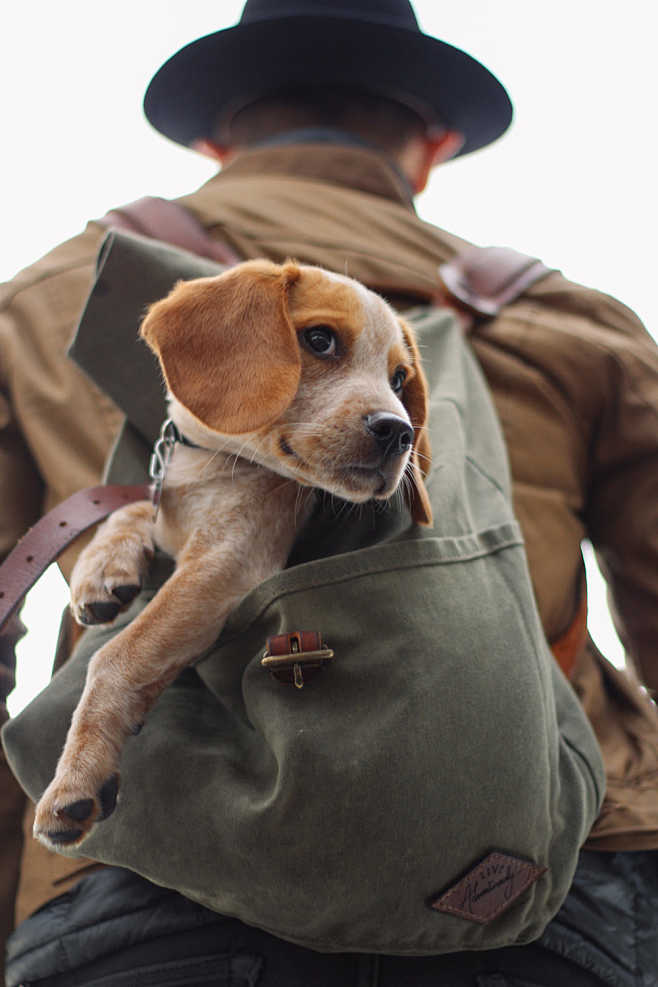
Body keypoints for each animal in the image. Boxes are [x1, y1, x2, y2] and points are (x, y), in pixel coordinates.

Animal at [33, 256, 430, 848]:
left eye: (399, 380)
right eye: (319, 339)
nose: (399, 432)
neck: (209, 465)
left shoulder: (226, 563)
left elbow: (116, 658)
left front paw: (77, 774)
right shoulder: (174, 521)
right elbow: (133, 508)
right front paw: (102, 568)